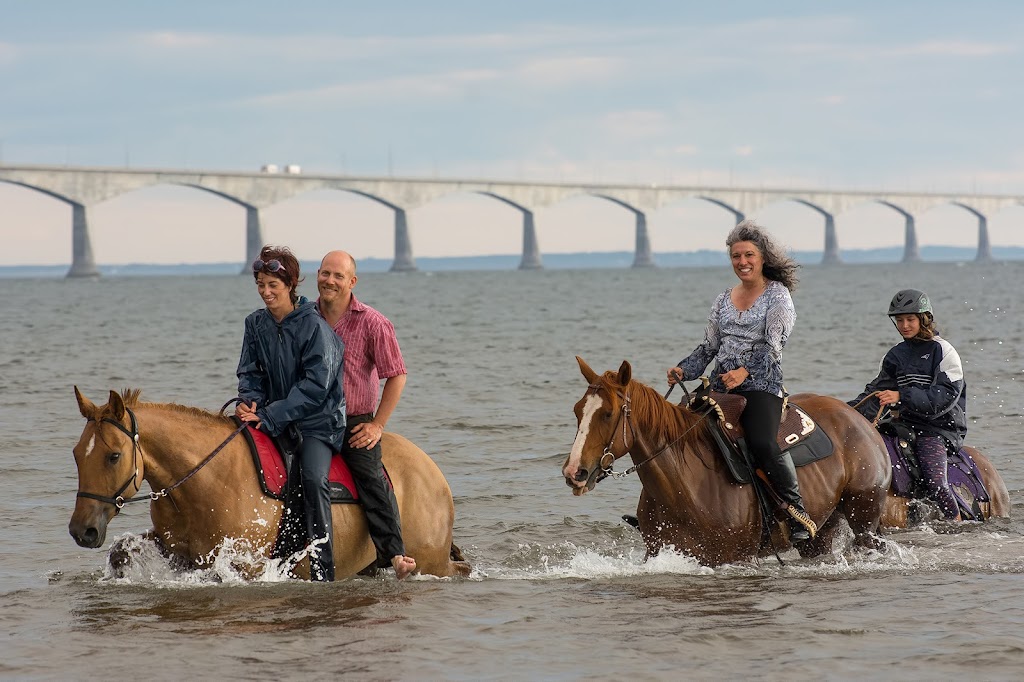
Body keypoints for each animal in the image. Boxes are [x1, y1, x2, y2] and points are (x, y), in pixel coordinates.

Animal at [70, 387, 468, 577]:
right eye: (76, 454)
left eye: (113, 456)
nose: (81, 530)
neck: (203, 483)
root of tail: (433, 472)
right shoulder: (180, 551)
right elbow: (122, 552)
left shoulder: (247, 565)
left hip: (429, 561)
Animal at [561, 356, 897, 561]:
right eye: (577, 410)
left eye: (608, 413)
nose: (574, 472)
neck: (683, 484)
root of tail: (862, 420)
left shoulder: (733, 557)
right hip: (822, 532)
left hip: (864, 518)